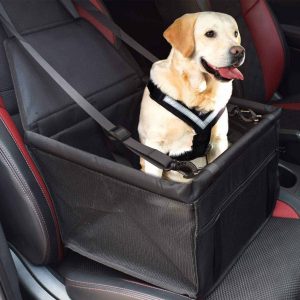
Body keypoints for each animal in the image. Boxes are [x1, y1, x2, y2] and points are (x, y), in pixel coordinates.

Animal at [138, 12, 244, 183]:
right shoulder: (154, 146)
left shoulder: (220, 141)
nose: (239, 51)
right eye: (210, 34)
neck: (197, 92)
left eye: (235, 33)